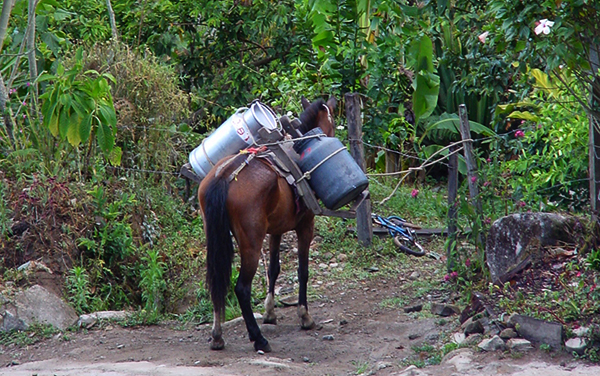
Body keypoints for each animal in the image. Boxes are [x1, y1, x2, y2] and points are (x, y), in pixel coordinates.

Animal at [198, 97, 336, 352]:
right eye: (331, 119)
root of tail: (224, 176)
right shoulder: (305, 225)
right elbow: (303, 271)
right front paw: (305, 317)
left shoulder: (276, 230)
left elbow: (274, 268)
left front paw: (270, 312)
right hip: (251, 243)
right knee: (241, 288)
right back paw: (258, 338)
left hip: (215, 237)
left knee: (216, 281)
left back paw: (217, 336)